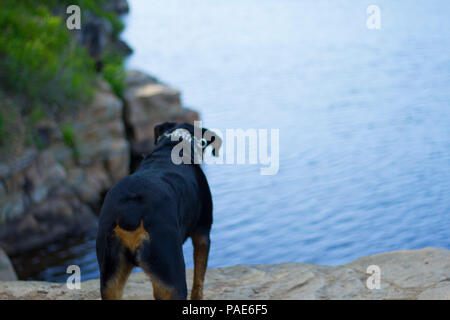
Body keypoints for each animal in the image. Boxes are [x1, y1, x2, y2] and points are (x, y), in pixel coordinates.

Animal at [96, 121, 221, 298]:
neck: (173, 145)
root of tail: (131, 210)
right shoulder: (202, 234)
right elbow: (199, 279)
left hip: (110, 276)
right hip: (172, 272)